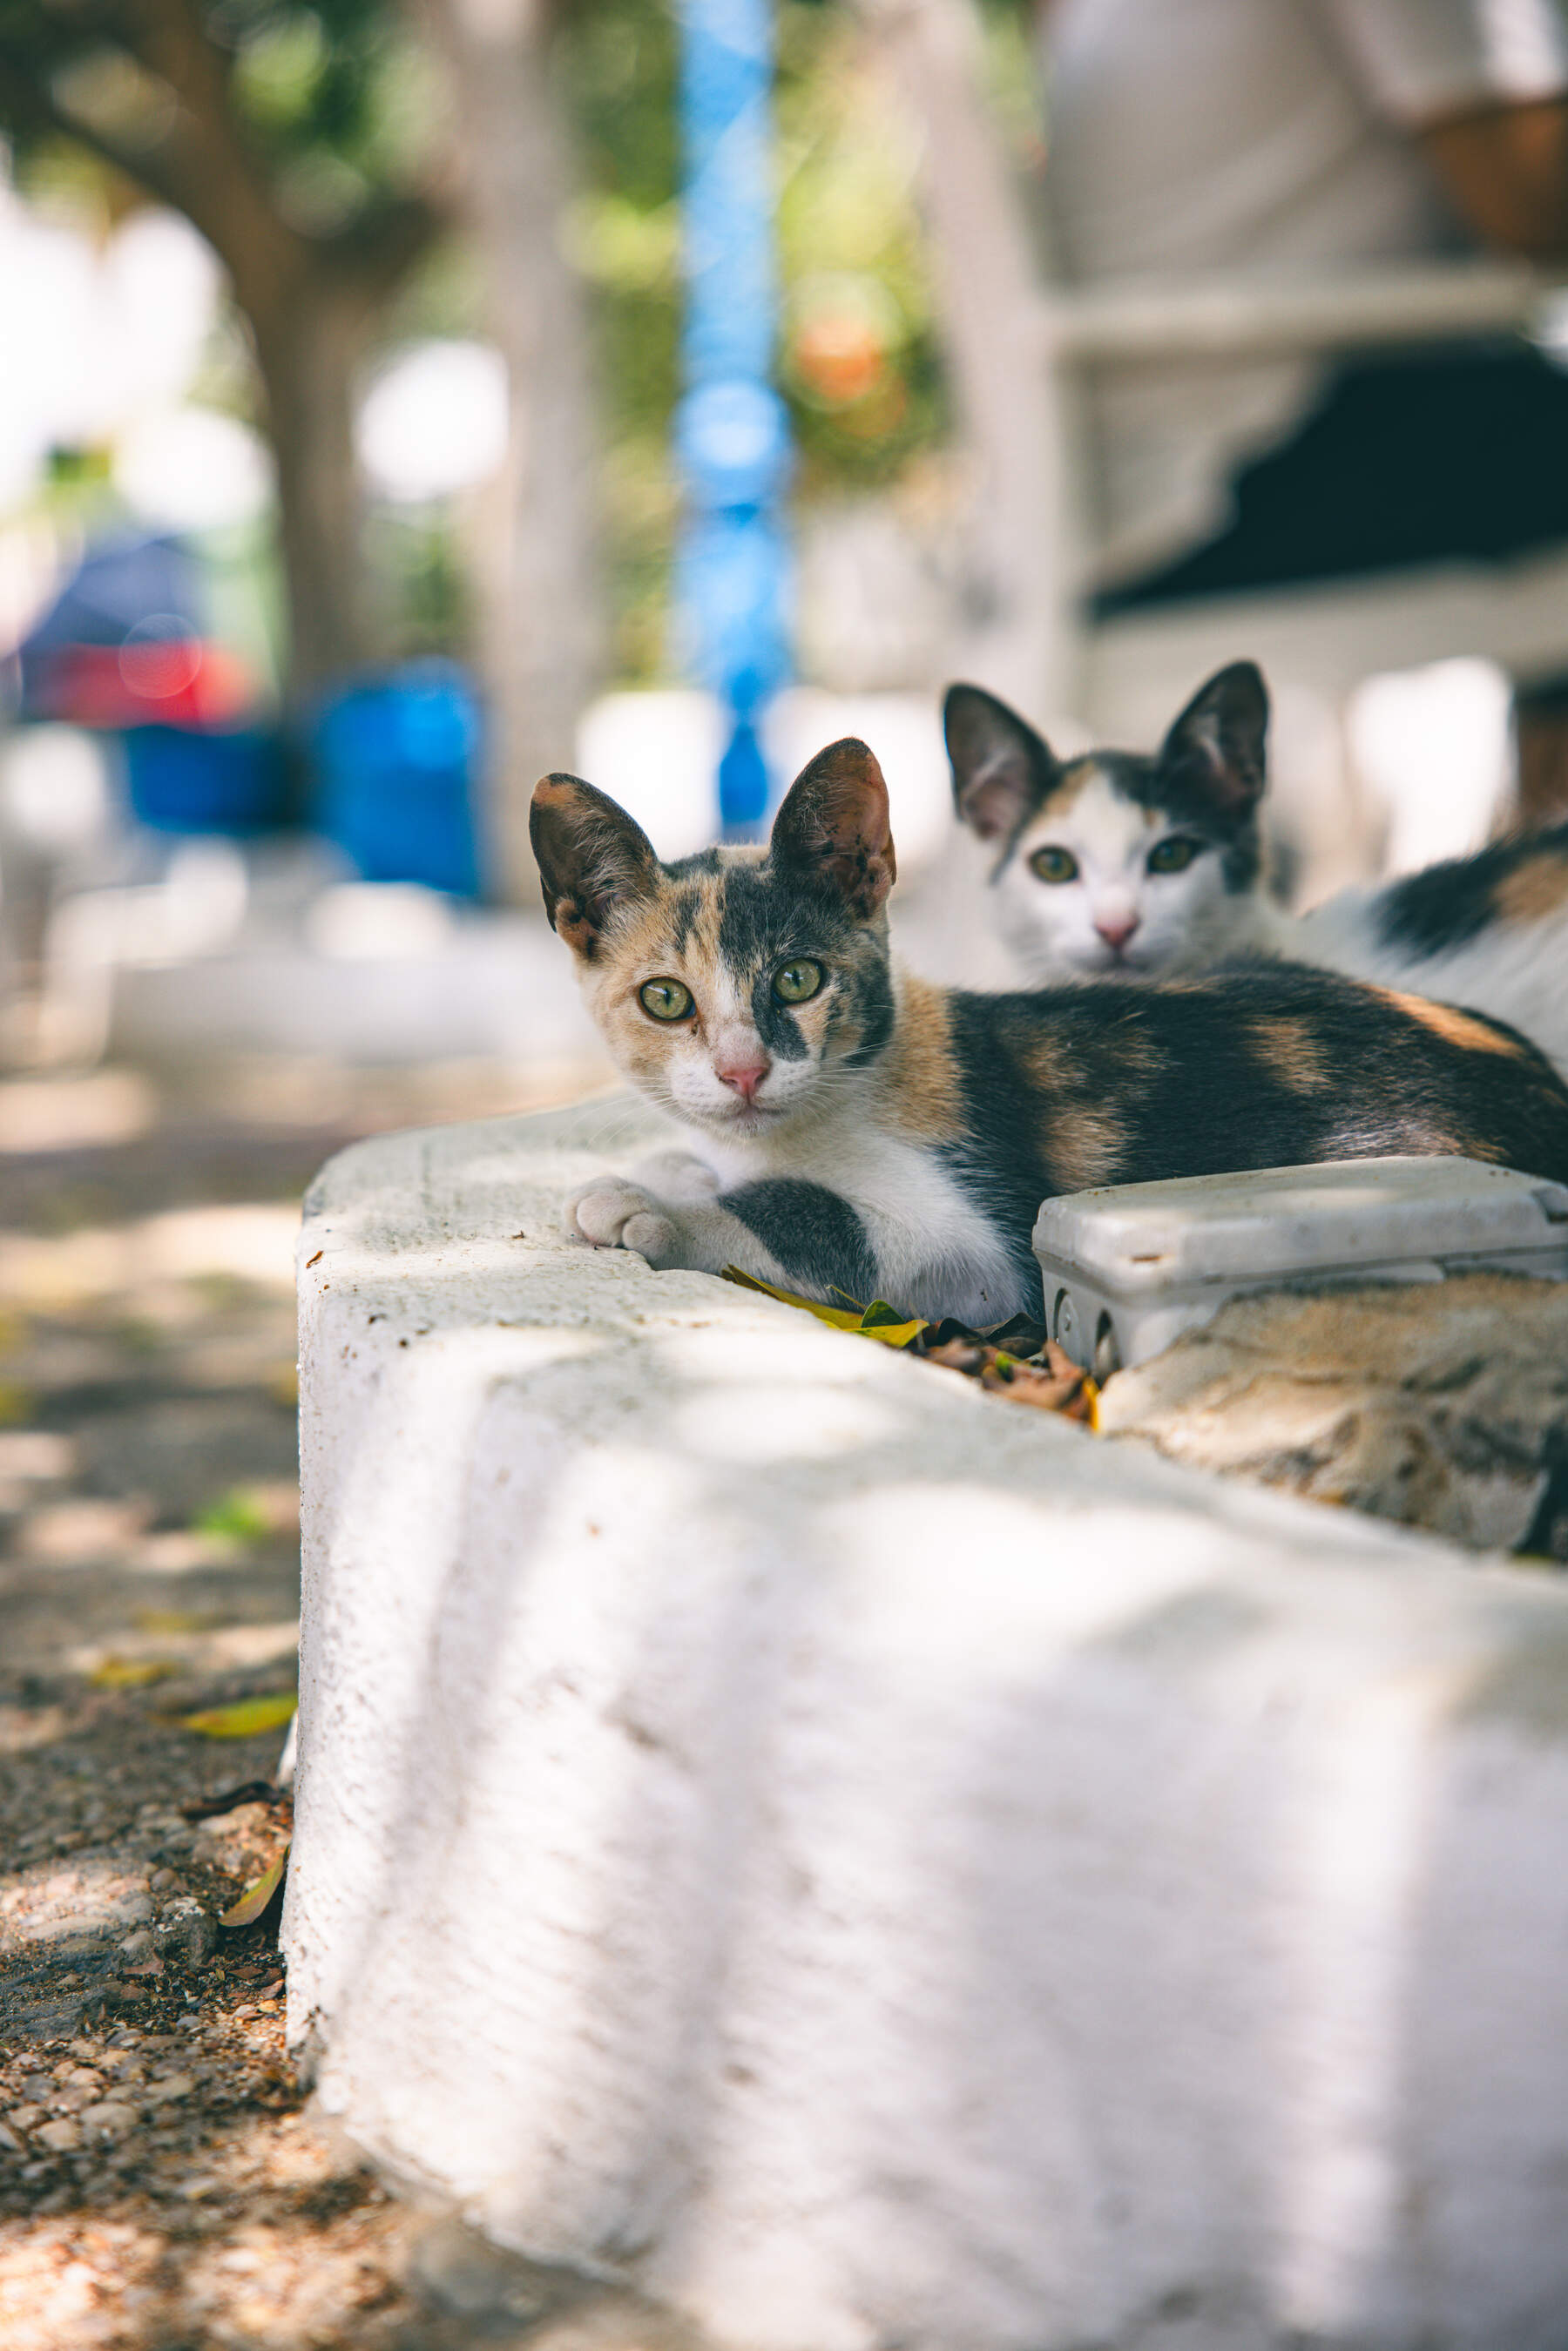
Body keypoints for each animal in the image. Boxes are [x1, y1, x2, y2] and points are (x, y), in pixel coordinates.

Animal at [526, 738, 1568, 1326]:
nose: (743, 1072)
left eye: (798, 978)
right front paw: (672, 1163)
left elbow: (829, 1223)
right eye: (667, 999)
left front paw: (644, 1206)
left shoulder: (977, 1246)